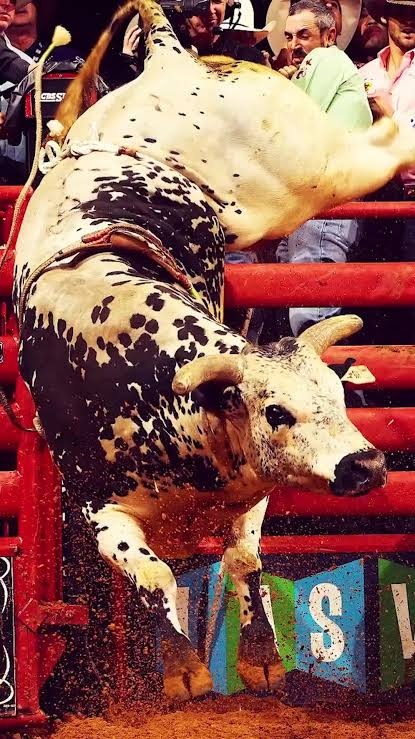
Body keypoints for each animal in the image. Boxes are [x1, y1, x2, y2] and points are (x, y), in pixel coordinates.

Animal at [13, 0, 401, 702]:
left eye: (338, 395)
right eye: (276, 412)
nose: (366, 467)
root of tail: (167, 60)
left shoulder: (251, 489)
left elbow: (241, 558)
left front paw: (260, 658)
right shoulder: (98, 511)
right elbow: (157, 578)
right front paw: (184, 668)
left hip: (288, 172)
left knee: (374, 149)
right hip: (284, 170)